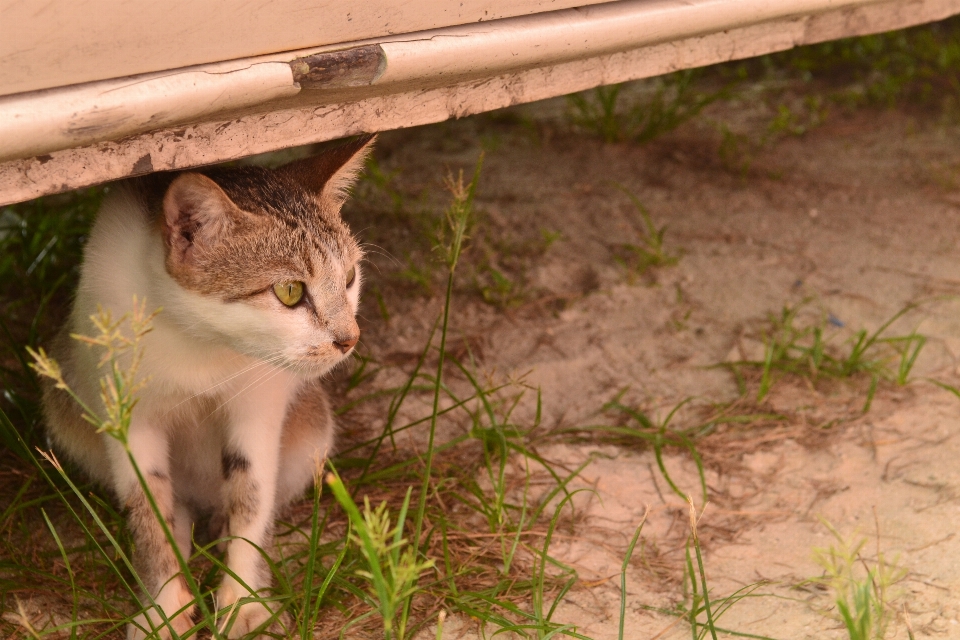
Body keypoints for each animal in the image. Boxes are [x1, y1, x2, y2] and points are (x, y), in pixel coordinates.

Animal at [44, 134, 376, 636]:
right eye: (291, 292)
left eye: (350, 278)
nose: (348, 339)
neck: (197, 343)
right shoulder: (128, 417)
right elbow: (148, 508)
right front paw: (165, 607)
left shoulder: (259, 404)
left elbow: (251, 496)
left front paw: (243, 603)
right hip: (68, 416)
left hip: (313, 430)